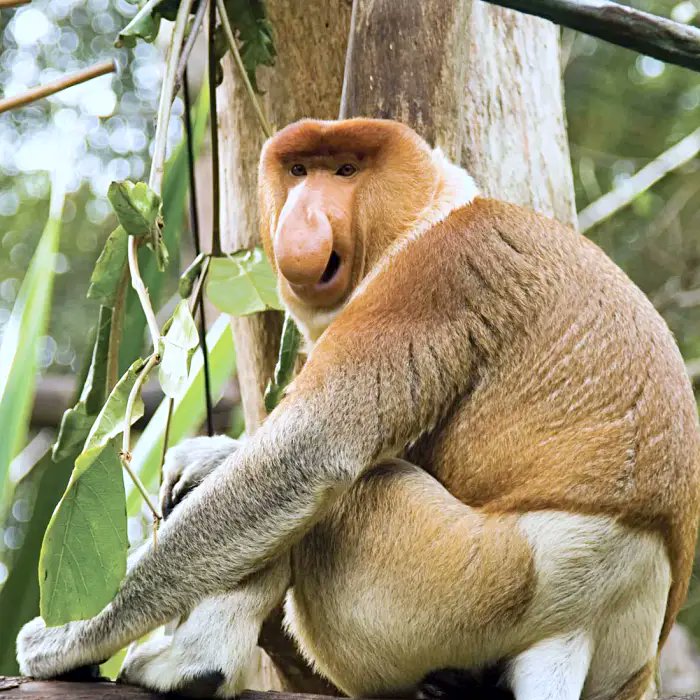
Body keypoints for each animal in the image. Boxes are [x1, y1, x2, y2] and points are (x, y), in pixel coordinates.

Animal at [17, 118, 700, 700]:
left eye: (345, 170)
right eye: (299, 170)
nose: (303, 213)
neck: (432, 212)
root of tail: (591, 619)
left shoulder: (432, 276)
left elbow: (307, 455)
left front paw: (63, 635)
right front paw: (204, 455)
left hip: (476, 580)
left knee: (336, 500)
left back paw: (195, 667)